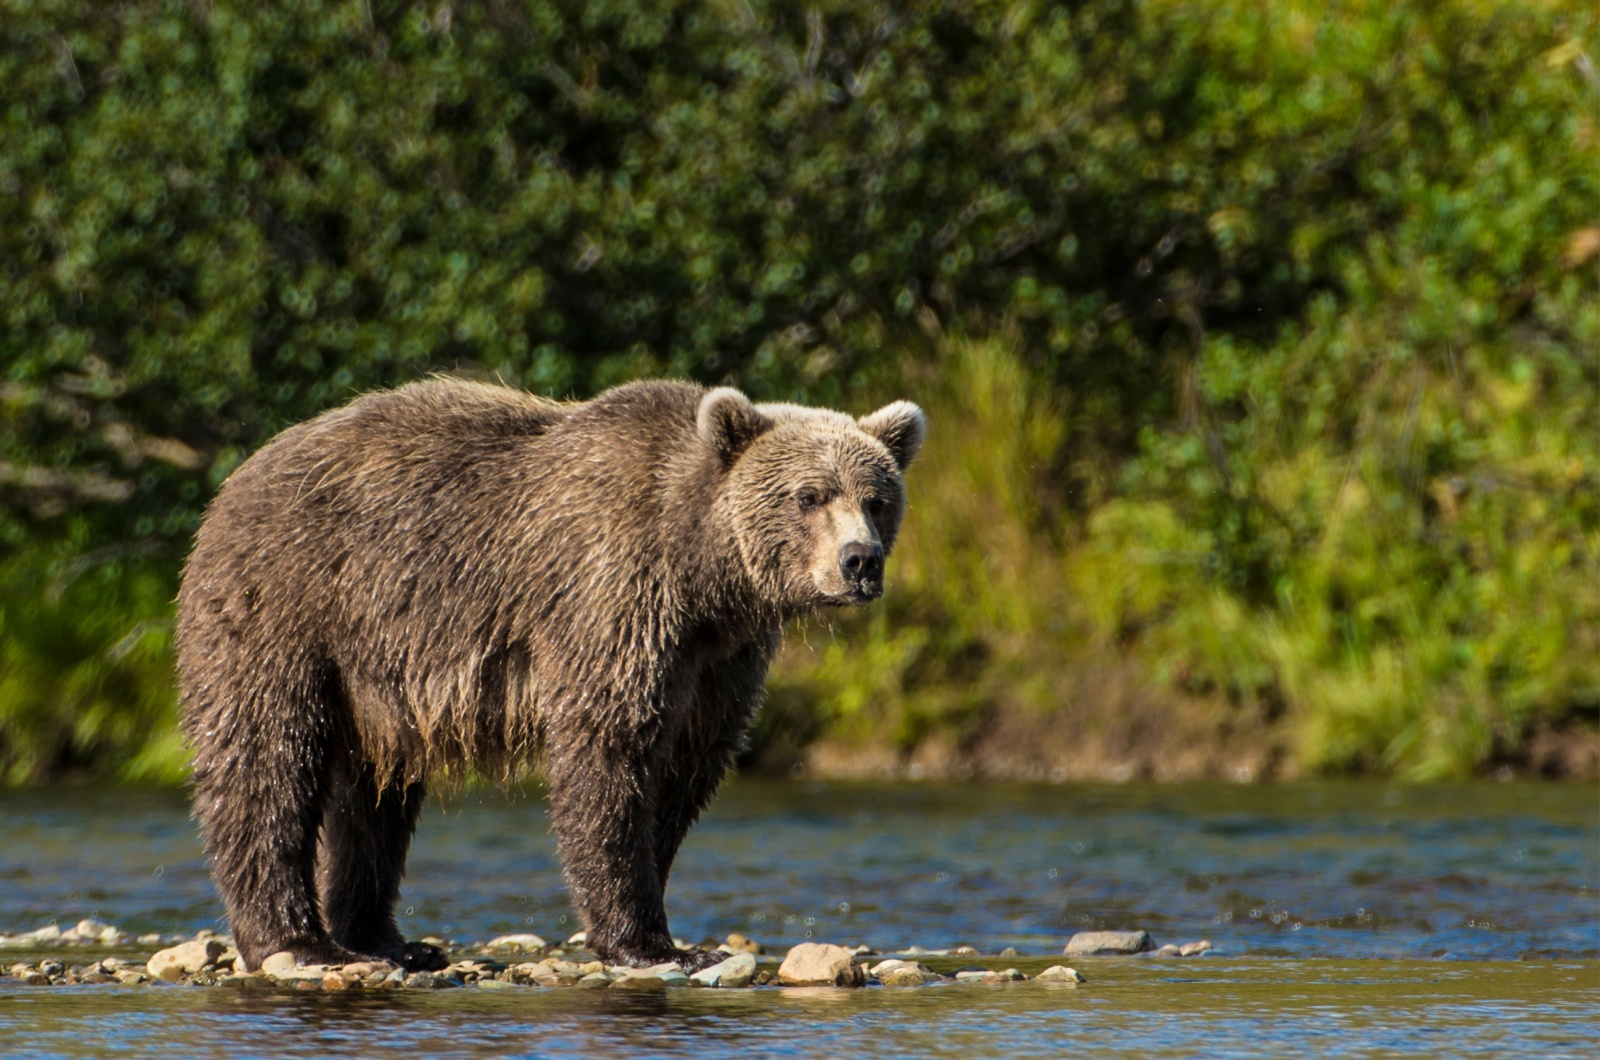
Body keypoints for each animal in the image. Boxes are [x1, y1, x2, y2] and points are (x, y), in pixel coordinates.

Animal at [172, 377, 928, 973]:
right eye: (809, 495)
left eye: (877, 497)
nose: (860, 561)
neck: (703, 575)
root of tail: (233, 481)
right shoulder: (611, 597)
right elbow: (608, 755)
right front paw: (651, 942)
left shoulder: (719, 659)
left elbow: (686, 766)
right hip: (292, 606)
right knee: (267, 760)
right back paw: (297, 941)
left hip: (376, 675)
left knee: (375, 797)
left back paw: (389, 941)